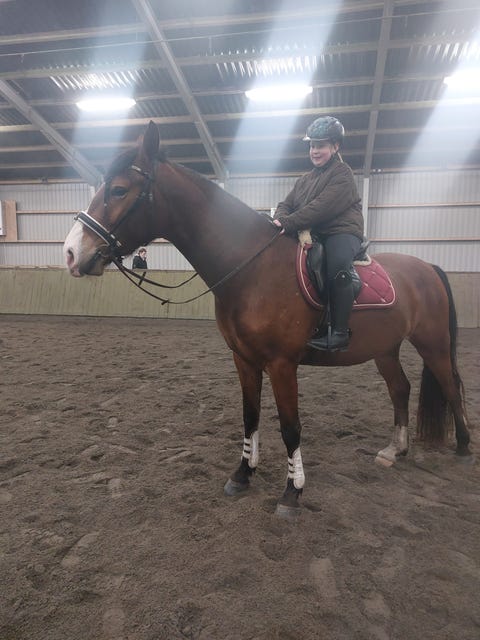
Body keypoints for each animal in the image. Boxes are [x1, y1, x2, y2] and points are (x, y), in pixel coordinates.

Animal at [64, 121, 472, 519]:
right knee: (400, 388)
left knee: (450, 386)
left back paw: (464, 447)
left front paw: (292, 493)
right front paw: (243, 474)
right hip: (385, 349)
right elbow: (250, 417)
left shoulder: (281, 364)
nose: (71, 252)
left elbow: (290, 427)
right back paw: (394, 450)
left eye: (119, 190)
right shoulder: (244, 359)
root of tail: (428, 267)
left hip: (432, 344)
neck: (252, 268)